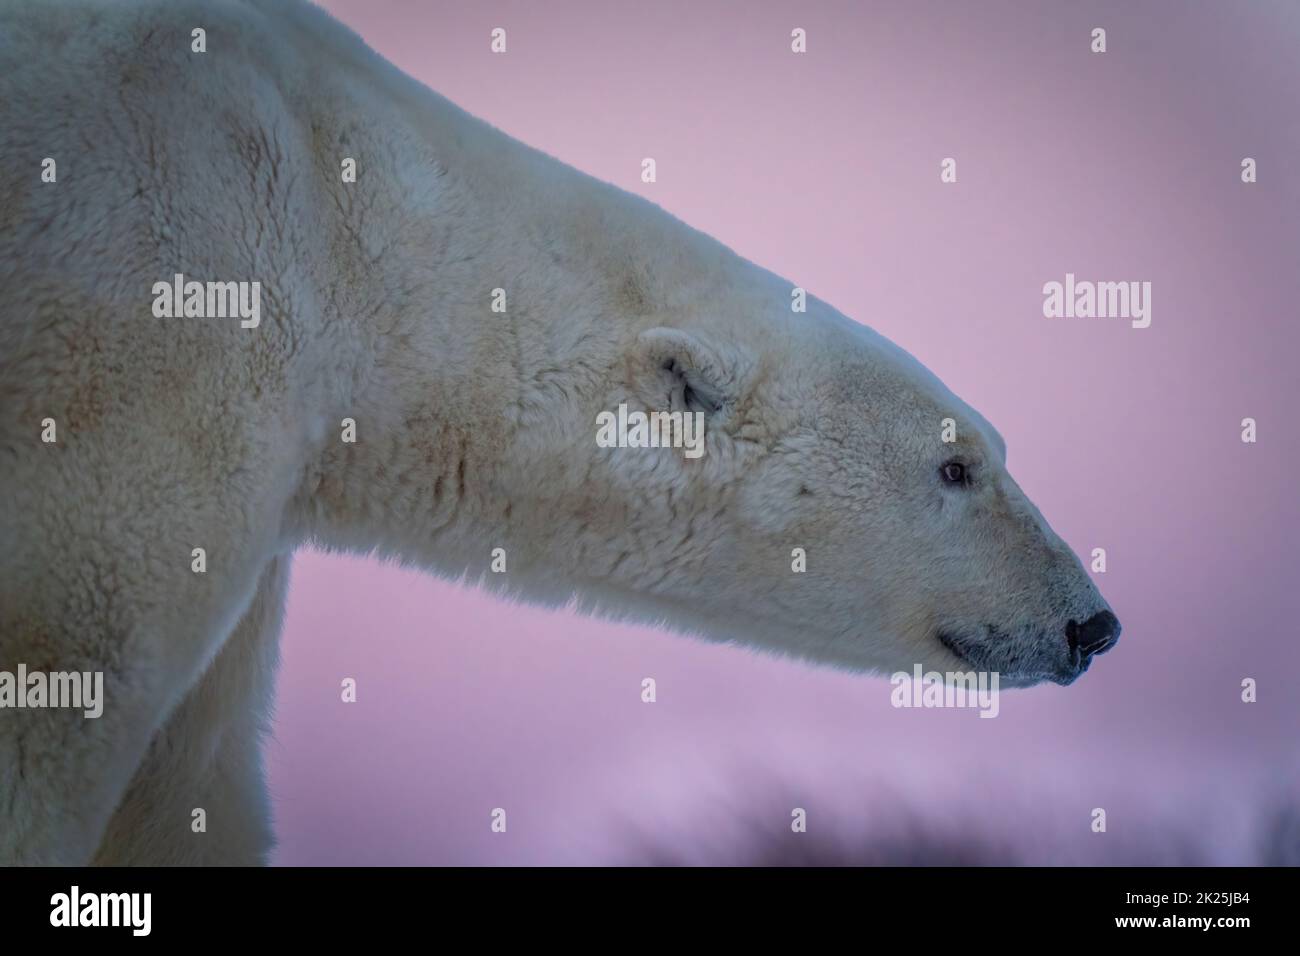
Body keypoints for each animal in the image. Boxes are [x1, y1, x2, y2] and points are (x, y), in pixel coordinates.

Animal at [0, 0, 1118, 868]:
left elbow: (188, 780)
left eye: (992, 450)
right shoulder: (146, 334)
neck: (353, 238)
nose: (1092, 623)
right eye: (955, 465)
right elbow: (61, 680)